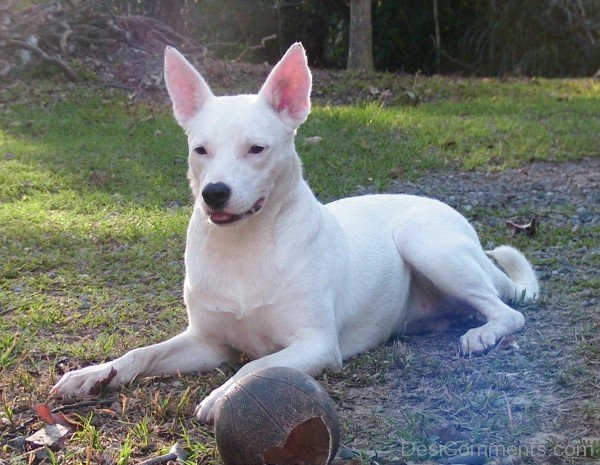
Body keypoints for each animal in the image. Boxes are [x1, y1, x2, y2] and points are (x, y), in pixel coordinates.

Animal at [51, 42, 540, 420]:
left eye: (256, 149)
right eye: (200, 149)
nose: (214, 193)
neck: (243, 246)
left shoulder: (316, 345)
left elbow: (254, 368)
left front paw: (222, 396)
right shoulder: (206, 342)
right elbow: (142, 352)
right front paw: (92, 375)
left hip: (424, 241)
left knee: (507, 311)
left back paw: (483, 333)